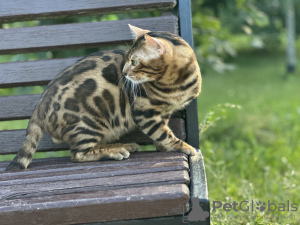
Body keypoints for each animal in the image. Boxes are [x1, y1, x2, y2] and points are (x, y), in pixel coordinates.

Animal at [5, 24, 202, 171]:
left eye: (134, 61)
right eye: (128, 59)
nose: (124, 72)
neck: (176, 83)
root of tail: (38, 109)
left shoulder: (163, 111)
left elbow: (162, 131)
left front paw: (163, 147)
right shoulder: (145, 113)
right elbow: (162, 133)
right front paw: (182, 146)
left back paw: (122, 146)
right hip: (89, 123)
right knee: (78, 154)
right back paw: (113, 152)